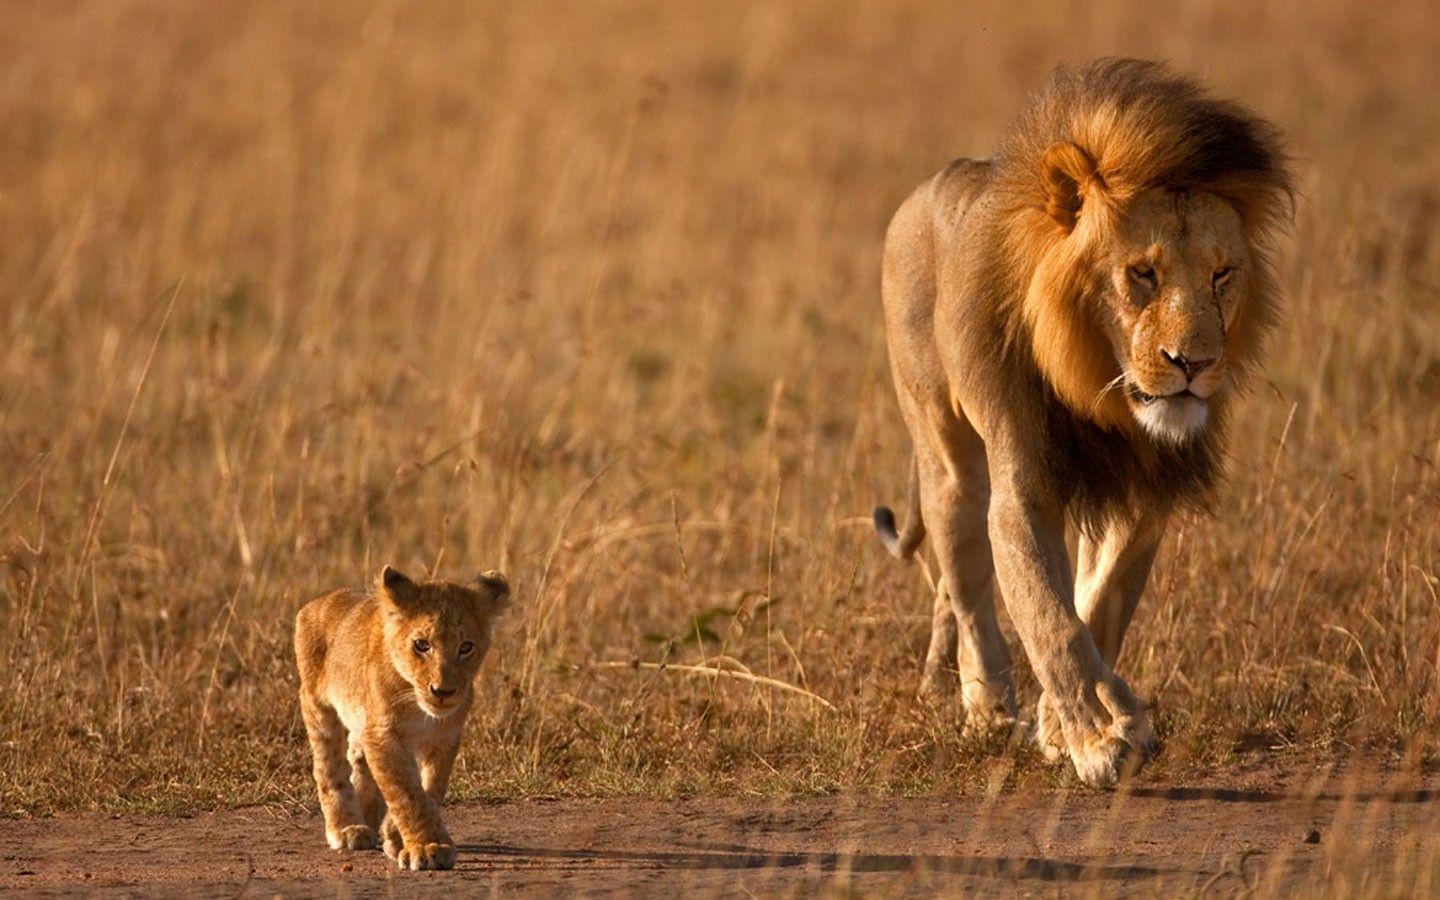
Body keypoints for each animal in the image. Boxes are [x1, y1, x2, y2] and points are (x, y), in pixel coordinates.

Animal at [294, 565, 510, 870]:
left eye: (466, 647)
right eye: (421, 645)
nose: (442, 692)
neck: (420, 708)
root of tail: (320, 600)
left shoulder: (445, 737)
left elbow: (430, 790)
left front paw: (396, 836)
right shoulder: (384, 734)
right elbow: (407, 792)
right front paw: (428, 847)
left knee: (358, 759)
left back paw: (369, 819)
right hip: (317, 705)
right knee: (329, 767)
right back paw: (347, 828)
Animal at [873, 58, 1292, 787]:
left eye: (1222, 274)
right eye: (1142, 273)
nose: (1194, 363)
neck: (1104, 389)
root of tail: (927, 187)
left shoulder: (1144, 494)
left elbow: (1098, 608)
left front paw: (1071, 727)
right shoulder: (1024, 488)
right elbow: (1052, 620)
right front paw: (1098, 741)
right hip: (947, 454)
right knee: (967, 582)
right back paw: (988, 710)